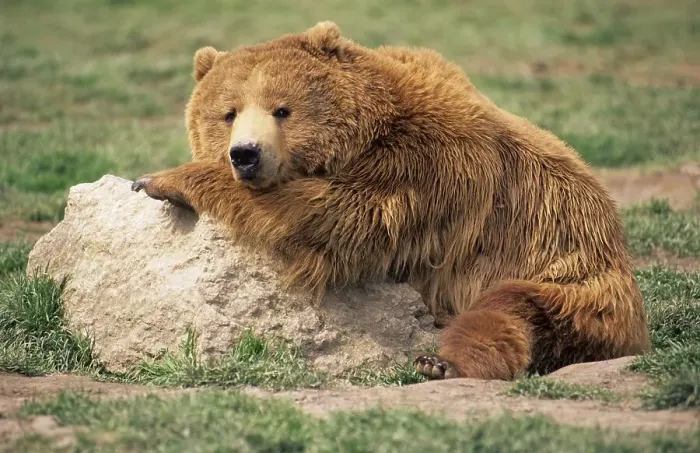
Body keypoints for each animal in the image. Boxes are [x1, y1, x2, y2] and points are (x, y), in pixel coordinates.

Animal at [132, 21, 651, 380]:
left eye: (282, 109)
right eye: (228, 112)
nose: (245, 154)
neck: (368, 132)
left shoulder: (424, 169)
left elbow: (330, 216)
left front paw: (162, 178)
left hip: (572, 281)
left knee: (509, 312)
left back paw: (440, 363)